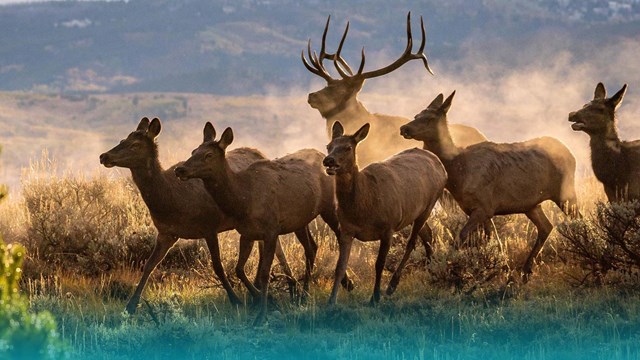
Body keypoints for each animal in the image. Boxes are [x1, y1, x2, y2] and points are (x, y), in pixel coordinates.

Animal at [175, 122, 342, 324]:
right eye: (193, 151)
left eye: (208, 155)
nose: (180, 169)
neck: (243, 200)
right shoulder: (246, 233)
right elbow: (239, 269)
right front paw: (265, 299)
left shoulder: (271, 230)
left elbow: (264, 274)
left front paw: (262, 314)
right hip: (300, 220)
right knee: (311, 247)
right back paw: (303, 294)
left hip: (329, 207)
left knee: (340, 237)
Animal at [322, 121, 448, 304]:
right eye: (328, 146)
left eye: (348, 147)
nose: (328, 160)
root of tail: (439, 163)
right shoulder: (345, 228)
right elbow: (340, 266)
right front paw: (331, 301)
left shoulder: (388, 227)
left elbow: (379, 264)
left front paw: (375, 297)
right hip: (413, 212)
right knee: (427, 233)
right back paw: (432, 269)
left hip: (429, 203)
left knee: (412, 242)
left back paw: (392, 286)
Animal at [400, 92, 580, 276]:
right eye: (416, 115)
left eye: (429, 118)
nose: (404, 128)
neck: (458, 171)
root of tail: (570, 153)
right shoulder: (482, 209)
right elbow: (493, 241)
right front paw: (500, 269)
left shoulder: (484, 206)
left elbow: (461, 238)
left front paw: (451, 268)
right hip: (531, 205)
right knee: (546, 227)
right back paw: (526, 270)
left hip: (565, 192)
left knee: (578, 219)